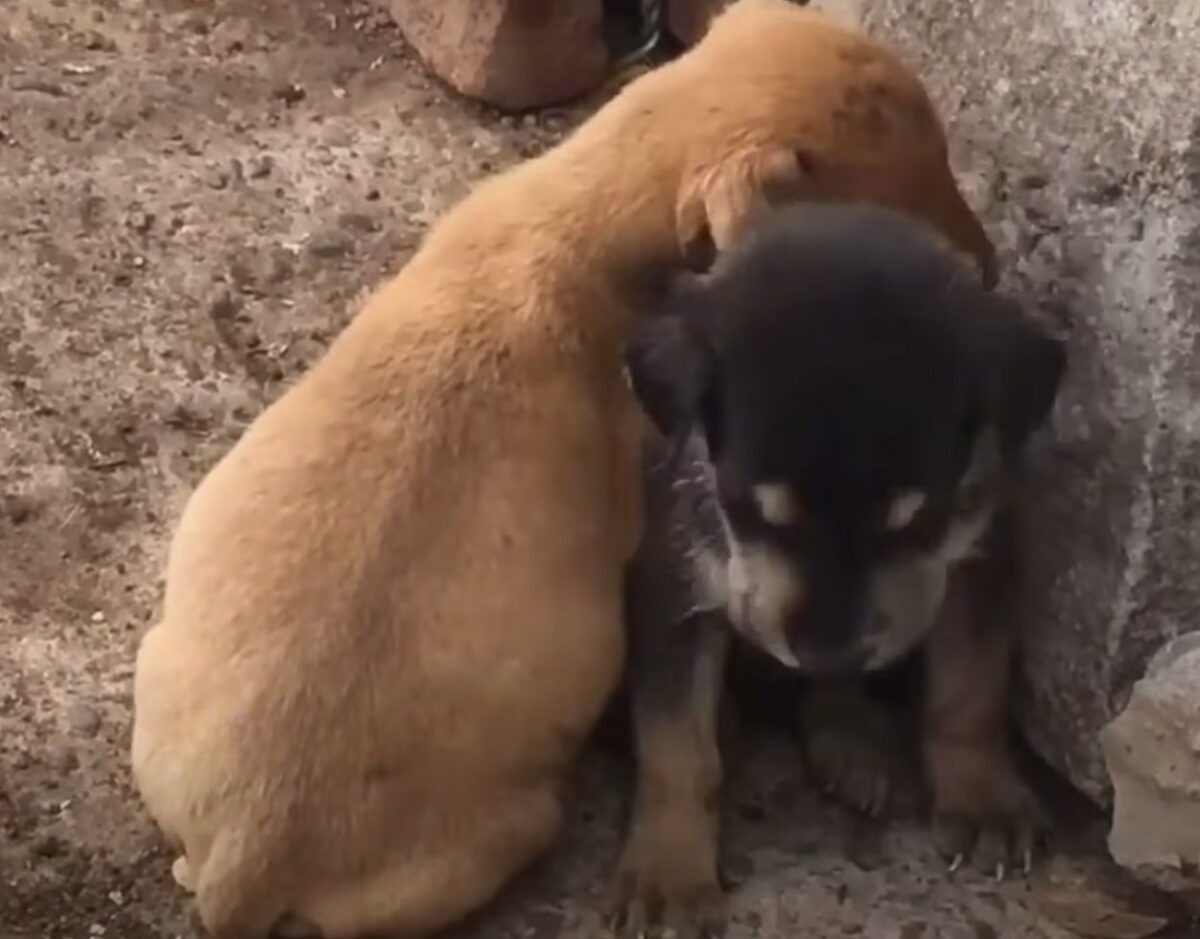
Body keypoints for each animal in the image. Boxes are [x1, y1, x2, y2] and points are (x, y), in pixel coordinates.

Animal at [614, 201, 1065, 936]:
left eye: (914, 519)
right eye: (754, 511)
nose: (827, 652)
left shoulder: (980, 551)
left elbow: (970, 689)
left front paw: (982, 797)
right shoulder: (672, 580)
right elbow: (676, 741)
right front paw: (670, 871)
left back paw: (850, 743)